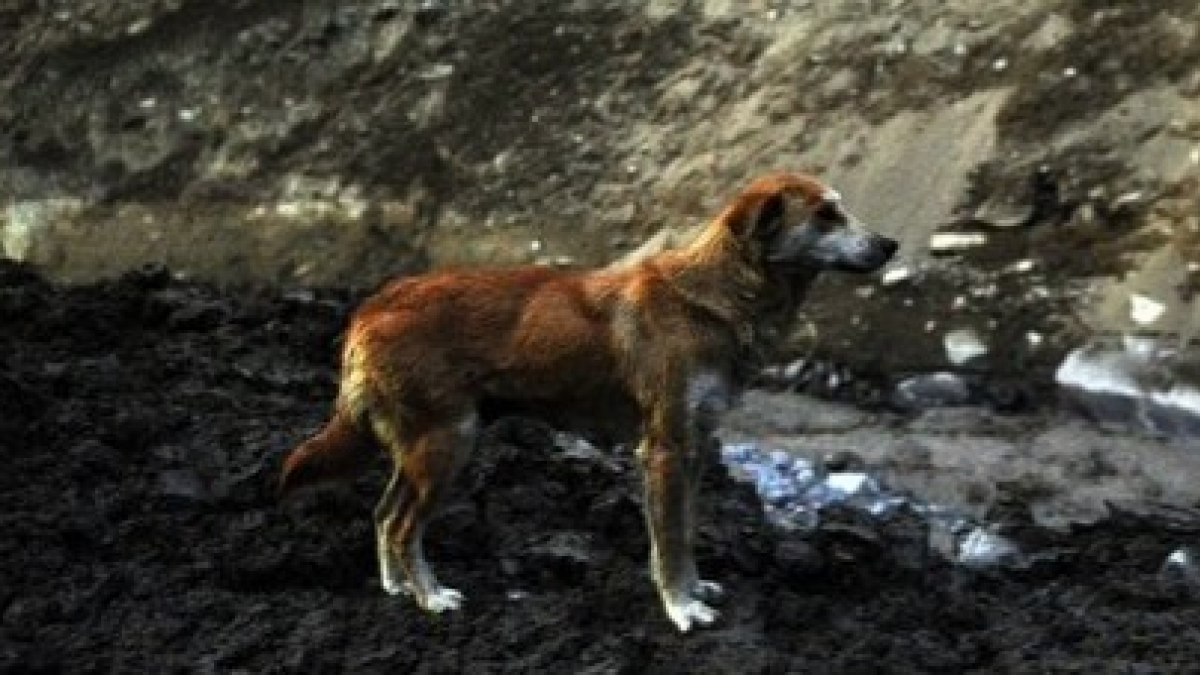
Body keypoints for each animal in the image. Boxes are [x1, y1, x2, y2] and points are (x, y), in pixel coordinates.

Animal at [280, 170, 897, 629]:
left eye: (840, 210)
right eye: (826, 215)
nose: (891, 244)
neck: (718, 297)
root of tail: (372, 305)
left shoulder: (696, 448)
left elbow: (685, 532)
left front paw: (696, 590)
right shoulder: (665, 449)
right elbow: (669, 539)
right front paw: (681, 608)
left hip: (422, 448)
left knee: (384, 513)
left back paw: (395, 587)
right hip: (446, 446)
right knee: (402, 525)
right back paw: (430, 598)